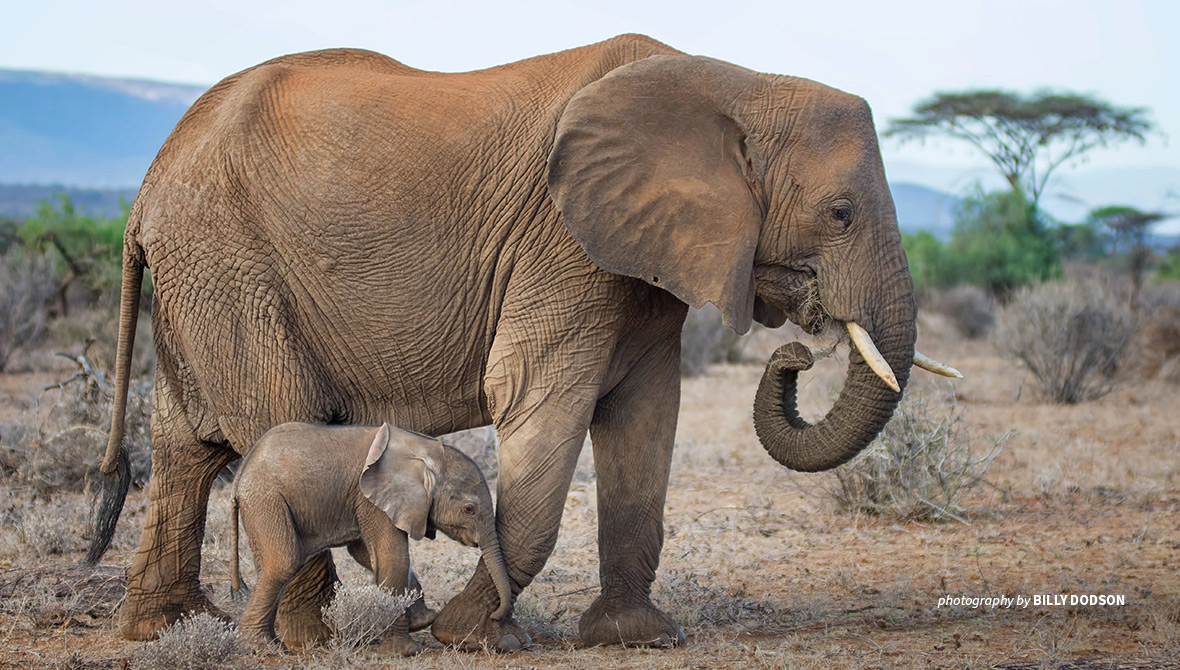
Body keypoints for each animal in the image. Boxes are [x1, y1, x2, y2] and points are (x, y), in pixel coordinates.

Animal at [230, 424, 512, 655]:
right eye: (469, 509)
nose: (496, 615)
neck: (423, 450)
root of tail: (240, 475)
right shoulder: (371, 499)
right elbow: (392, 555)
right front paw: (406, 651)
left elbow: (367, 554)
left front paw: (422, 620)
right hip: (266, 500)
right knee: (283, 562)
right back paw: (262, 648)